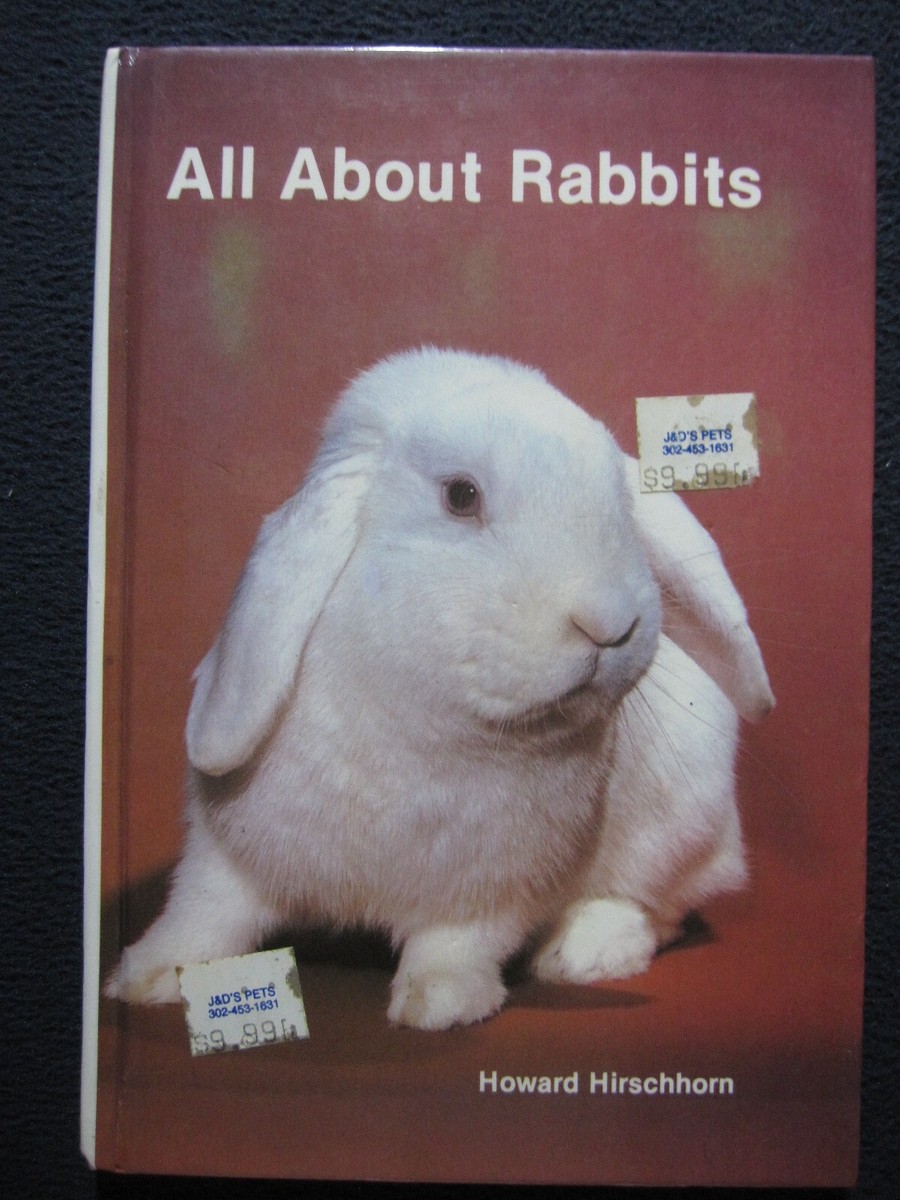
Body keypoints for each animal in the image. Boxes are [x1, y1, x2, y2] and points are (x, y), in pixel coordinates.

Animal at [106, 348, 773, 1030]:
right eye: (461, 495)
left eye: (621, 500)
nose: (612, 625)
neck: (423, 722)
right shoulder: (225, 857)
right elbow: (202, 916)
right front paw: (144, 977)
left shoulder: (493, 887)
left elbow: (457, 943)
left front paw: (440, 1004)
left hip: (679, 829)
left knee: (657, 909)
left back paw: (583, 949)